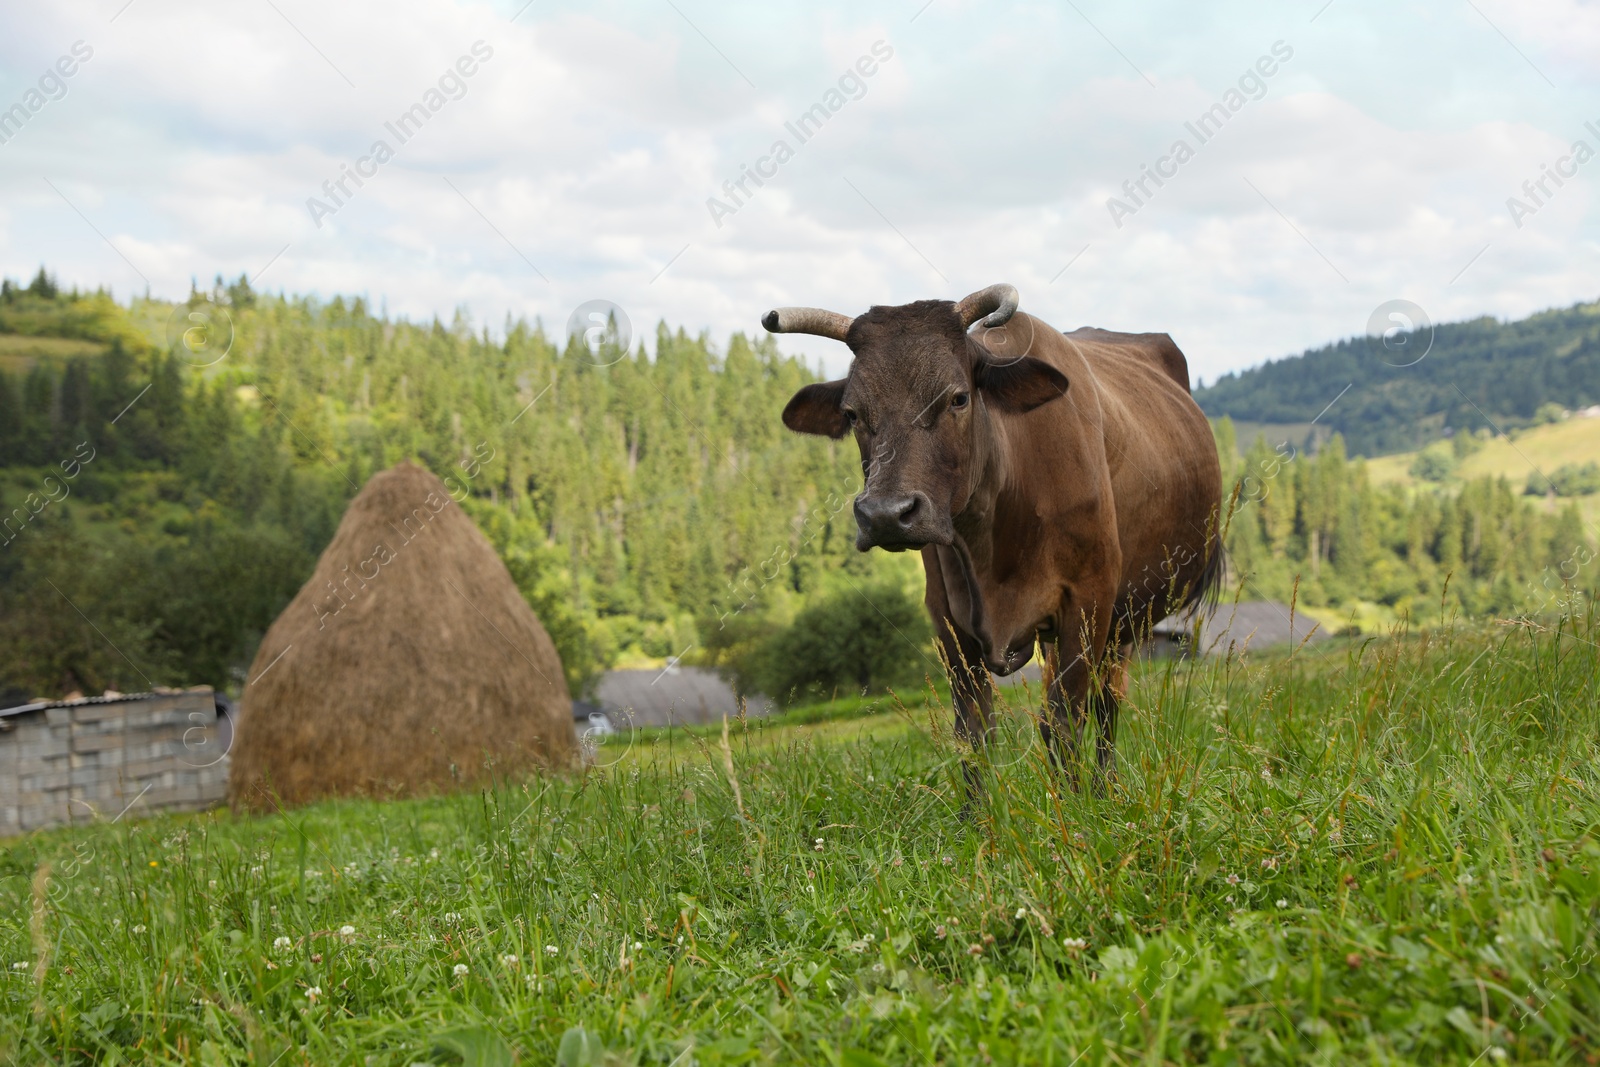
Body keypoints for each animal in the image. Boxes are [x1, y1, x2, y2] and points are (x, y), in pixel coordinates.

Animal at [768, 287, 1216, 796]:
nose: (885, 514)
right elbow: (973, 732)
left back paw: (1105, 787)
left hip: (1126, 618)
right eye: (852, 413)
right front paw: (976, 815)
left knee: (1107, 702)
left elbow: (1063, 720)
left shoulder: (1091, 596)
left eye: (959, 398)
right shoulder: (947, 615)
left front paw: (1077, 807)